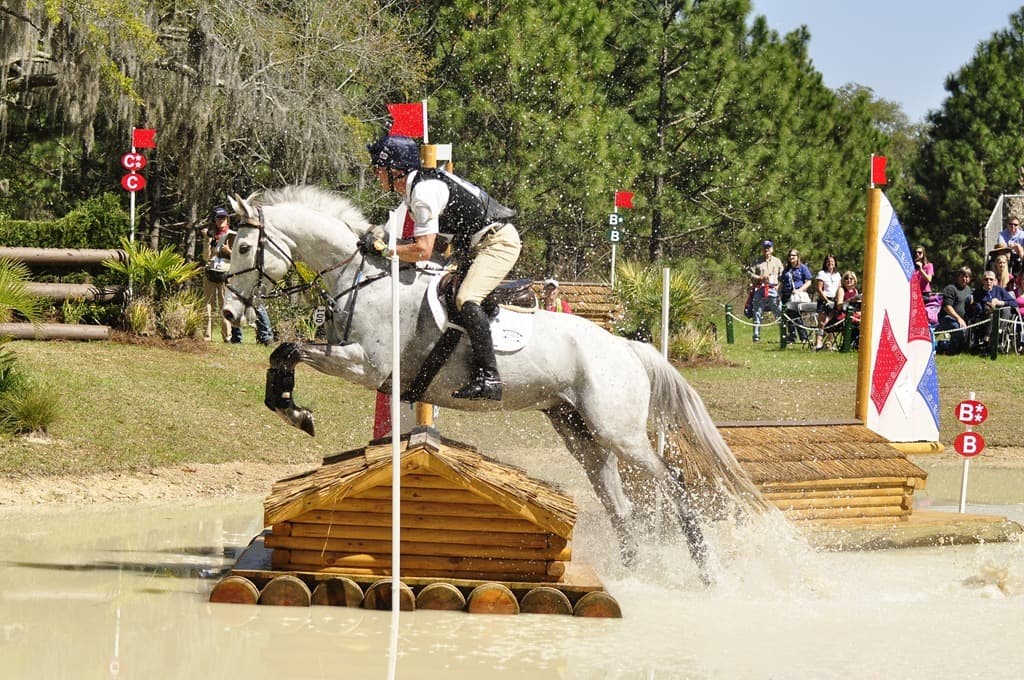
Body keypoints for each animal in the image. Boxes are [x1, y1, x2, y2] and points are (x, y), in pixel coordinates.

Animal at [221, 186, 770, 584]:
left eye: (244, 246)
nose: (228, 313)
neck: (362, 278)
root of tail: (628, 347)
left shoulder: (365, 366)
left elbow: (290, 349)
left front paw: (295, 410)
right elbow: (283, 352)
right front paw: (290, 406)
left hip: (619, 431)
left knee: (672, 481)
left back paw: (705, 570)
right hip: (578, 429)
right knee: (616, 497)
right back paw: (632, 573)